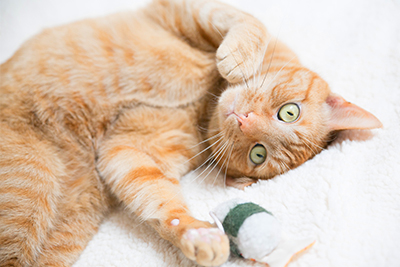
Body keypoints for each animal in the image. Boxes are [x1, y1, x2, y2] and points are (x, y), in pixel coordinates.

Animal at [0, 0, 382, 266]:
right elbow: (246, 19)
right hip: (32, 184)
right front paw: (237, 57)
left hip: (63, 223)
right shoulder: (182, 11)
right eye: (289, 112)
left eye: (257, 153)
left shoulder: (131, 151)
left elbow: (158, 199)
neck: (207, 100)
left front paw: (195, 234)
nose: (243, 120)